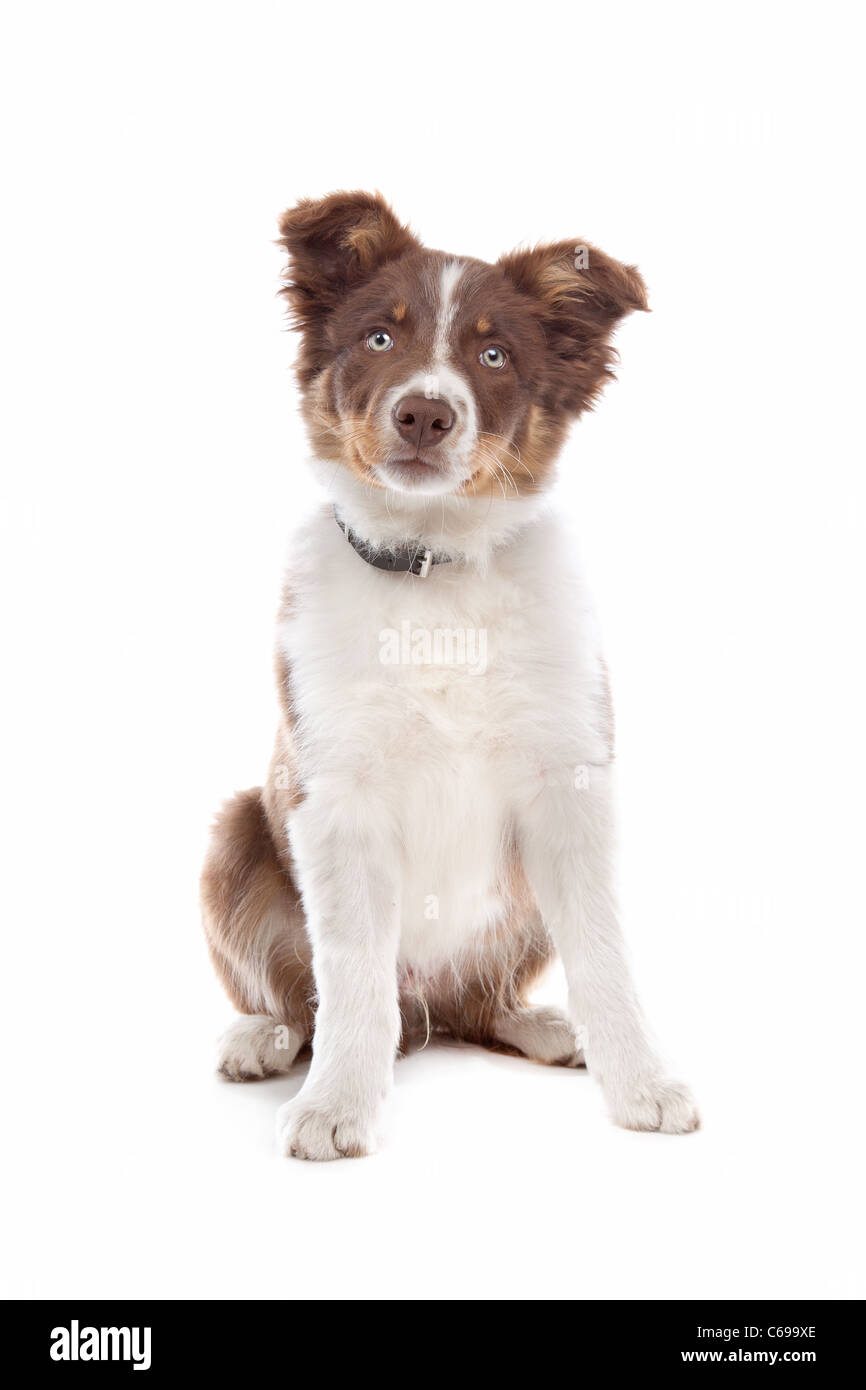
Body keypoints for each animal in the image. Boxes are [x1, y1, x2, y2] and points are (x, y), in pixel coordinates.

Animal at [200, 190, 700, 1156]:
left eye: (493, 355)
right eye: (378, 339)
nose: (425, 415)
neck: (434, 573)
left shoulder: (569, 783)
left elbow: (604, 952)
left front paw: (642, 1083)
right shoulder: (334, 796)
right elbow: (350, 972)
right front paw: (337, 1104)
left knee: (478, 1004)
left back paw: (539, 1024)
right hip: (236, 831)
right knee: (306, 998)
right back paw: (263, 1038)